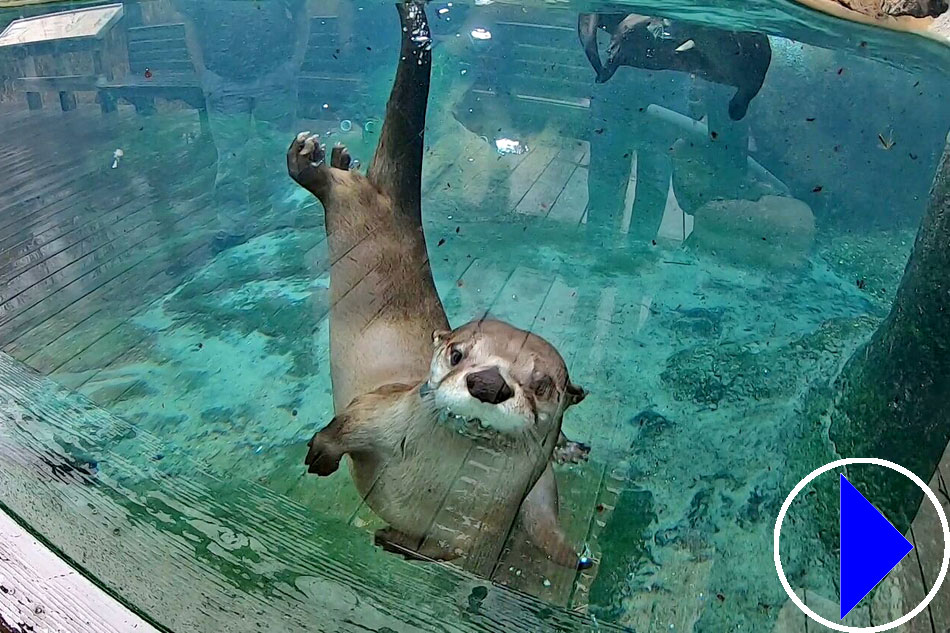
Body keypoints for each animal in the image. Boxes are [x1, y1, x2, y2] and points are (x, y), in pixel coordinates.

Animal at [286, 0, 592, 572]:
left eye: (542, 385)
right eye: (456, 354)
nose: (489, 383)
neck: (430, 483)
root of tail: (388, 201)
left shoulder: (474, 536)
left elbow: (437, 554)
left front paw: (392, 540)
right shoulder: (377, 413)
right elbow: (344, 424)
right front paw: (319, 455)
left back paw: (338, 159)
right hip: (349, 213)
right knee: (327, 190)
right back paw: (314, 161)